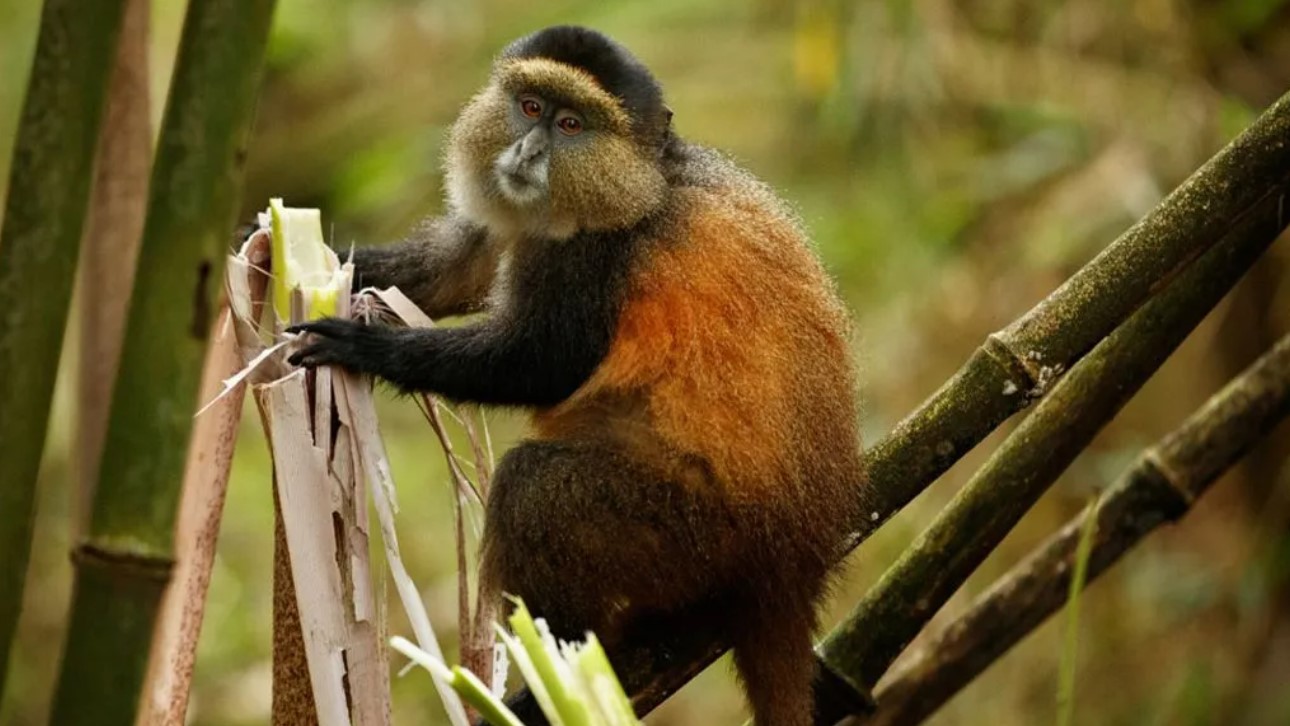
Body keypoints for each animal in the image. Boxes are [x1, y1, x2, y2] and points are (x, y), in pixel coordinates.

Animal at [288, 26, 865, 726]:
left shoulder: (595, 255)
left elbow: (541, 364)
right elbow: (455, 268)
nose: (529, 152)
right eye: (531, 107)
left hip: (699, 534)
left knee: (535, 489)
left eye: (571, 125)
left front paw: (367, 348)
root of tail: (794, 567)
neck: (648, 181)